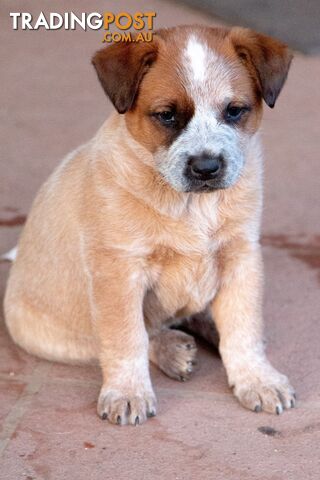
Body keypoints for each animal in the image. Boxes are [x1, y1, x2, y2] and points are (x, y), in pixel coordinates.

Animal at [4, 25, 296, 424]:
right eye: (167, 116)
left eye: (234, 111)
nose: (206, 168)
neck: (192, 206)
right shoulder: (119, 270)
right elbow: (127, 338)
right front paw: (128, 393)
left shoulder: (241, 255)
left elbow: (243, 327)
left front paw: (258, 378)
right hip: (46, 334)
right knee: (131, 336)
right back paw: (172, 350)